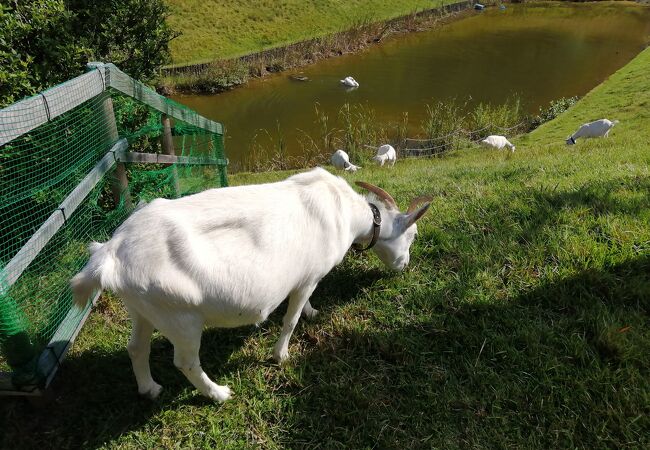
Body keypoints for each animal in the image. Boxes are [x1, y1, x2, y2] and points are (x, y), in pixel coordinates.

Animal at [71, 168, 428, 400]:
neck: (345, 213)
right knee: (185, 361)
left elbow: (304, 305)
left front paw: (312, 311)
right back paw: (218, 393)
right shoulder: (309, 276)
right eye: (411, 235)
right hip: (179, 315)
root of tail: (111, 251)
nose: (404, 265)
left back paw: (150, 389)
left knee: (136, 347)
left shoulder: (307, 279)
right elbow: (290, 319)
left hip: (142, 308)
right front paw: (280, 355)